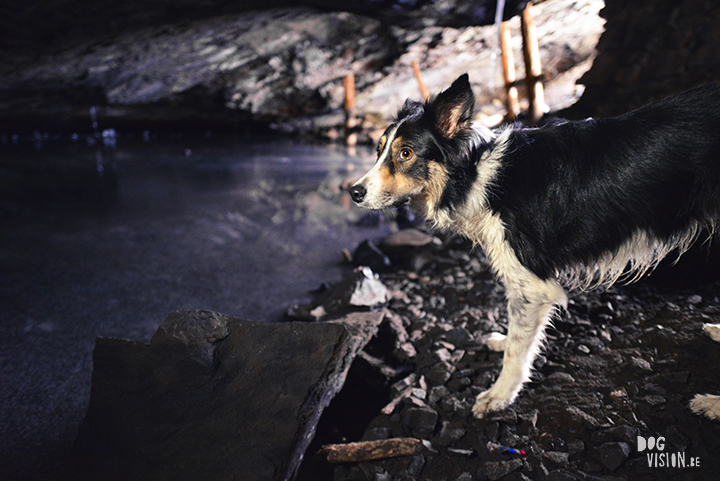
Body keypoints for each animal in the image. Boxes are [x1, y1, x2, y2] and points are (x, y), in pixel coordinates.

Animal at [350, 73, 720, 418]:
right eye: (378, 150)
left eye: (405, 153)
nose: (353, 192)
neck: (476, 173)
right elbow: (515, 335)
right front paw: (502, 341)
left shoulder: (531, 283)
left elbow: (517, 349)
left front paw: (499, 395)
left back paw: (712, 403)